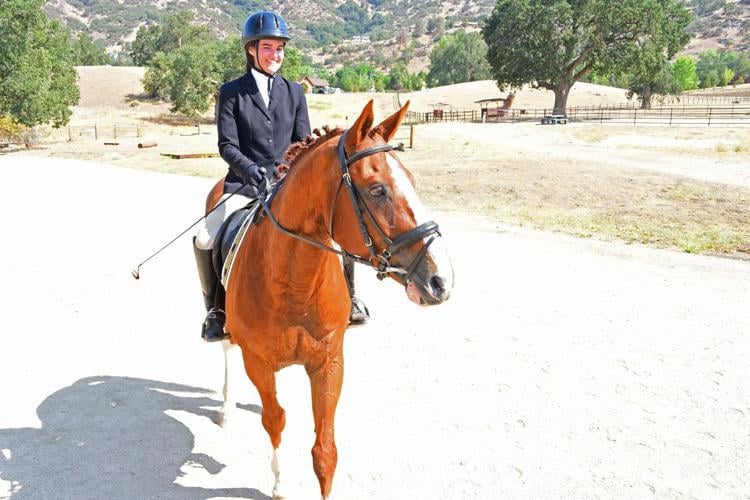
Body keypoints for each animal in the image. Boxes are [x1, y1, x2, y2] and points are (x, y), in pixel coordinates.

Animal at [205, 100, 454, 498]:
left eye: (413, 182)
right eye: (378, 190)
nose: (440, 280)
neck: (295, 282)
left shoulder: (329, 362)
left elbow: (325, 451)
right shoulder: (257, 362)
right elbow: (275, 420)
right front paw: (279, 482)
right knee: (227, 348)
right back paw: (226, 406)